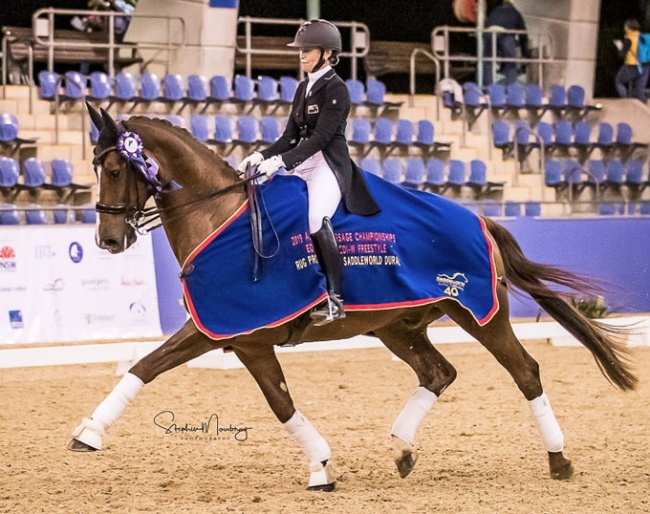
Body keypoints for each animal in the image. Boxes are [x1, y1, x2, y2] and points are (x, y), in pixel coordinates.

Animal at [68, 107, 636, 488]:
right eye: (96, 167)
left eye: (114, 170)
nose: (108, 240)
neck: (218, 216)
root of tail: (480, 218)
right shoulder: (237, 338)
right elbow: (153, 369)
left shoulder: (230, 331)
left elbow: (260, 398)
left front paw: (320, 468)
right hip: (397, 326)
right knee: (439, 373)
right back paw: (403, 451)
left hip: (479, 313)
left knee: (525, 372)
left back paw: (559, 461)